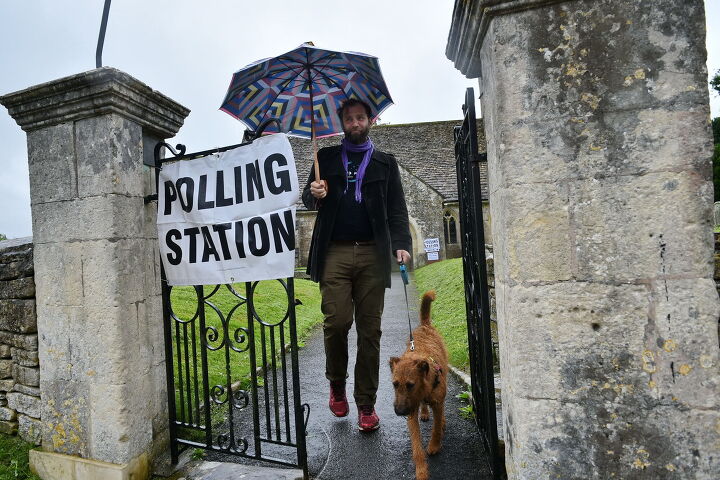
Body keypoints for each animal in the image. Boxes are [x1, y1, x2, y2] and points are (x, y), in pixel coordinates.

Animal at [390, 288, 448, 480]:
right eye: (394, 384)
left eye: (410, 385)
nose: (400, 412)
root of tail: (424, 326)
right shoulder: (411, 411)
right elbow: (416, 447)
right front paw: (421, 471)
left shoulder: (437, 403)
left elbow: (436, 428)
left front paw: (434, 446)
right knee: (424, 406)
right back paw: (424, 412)